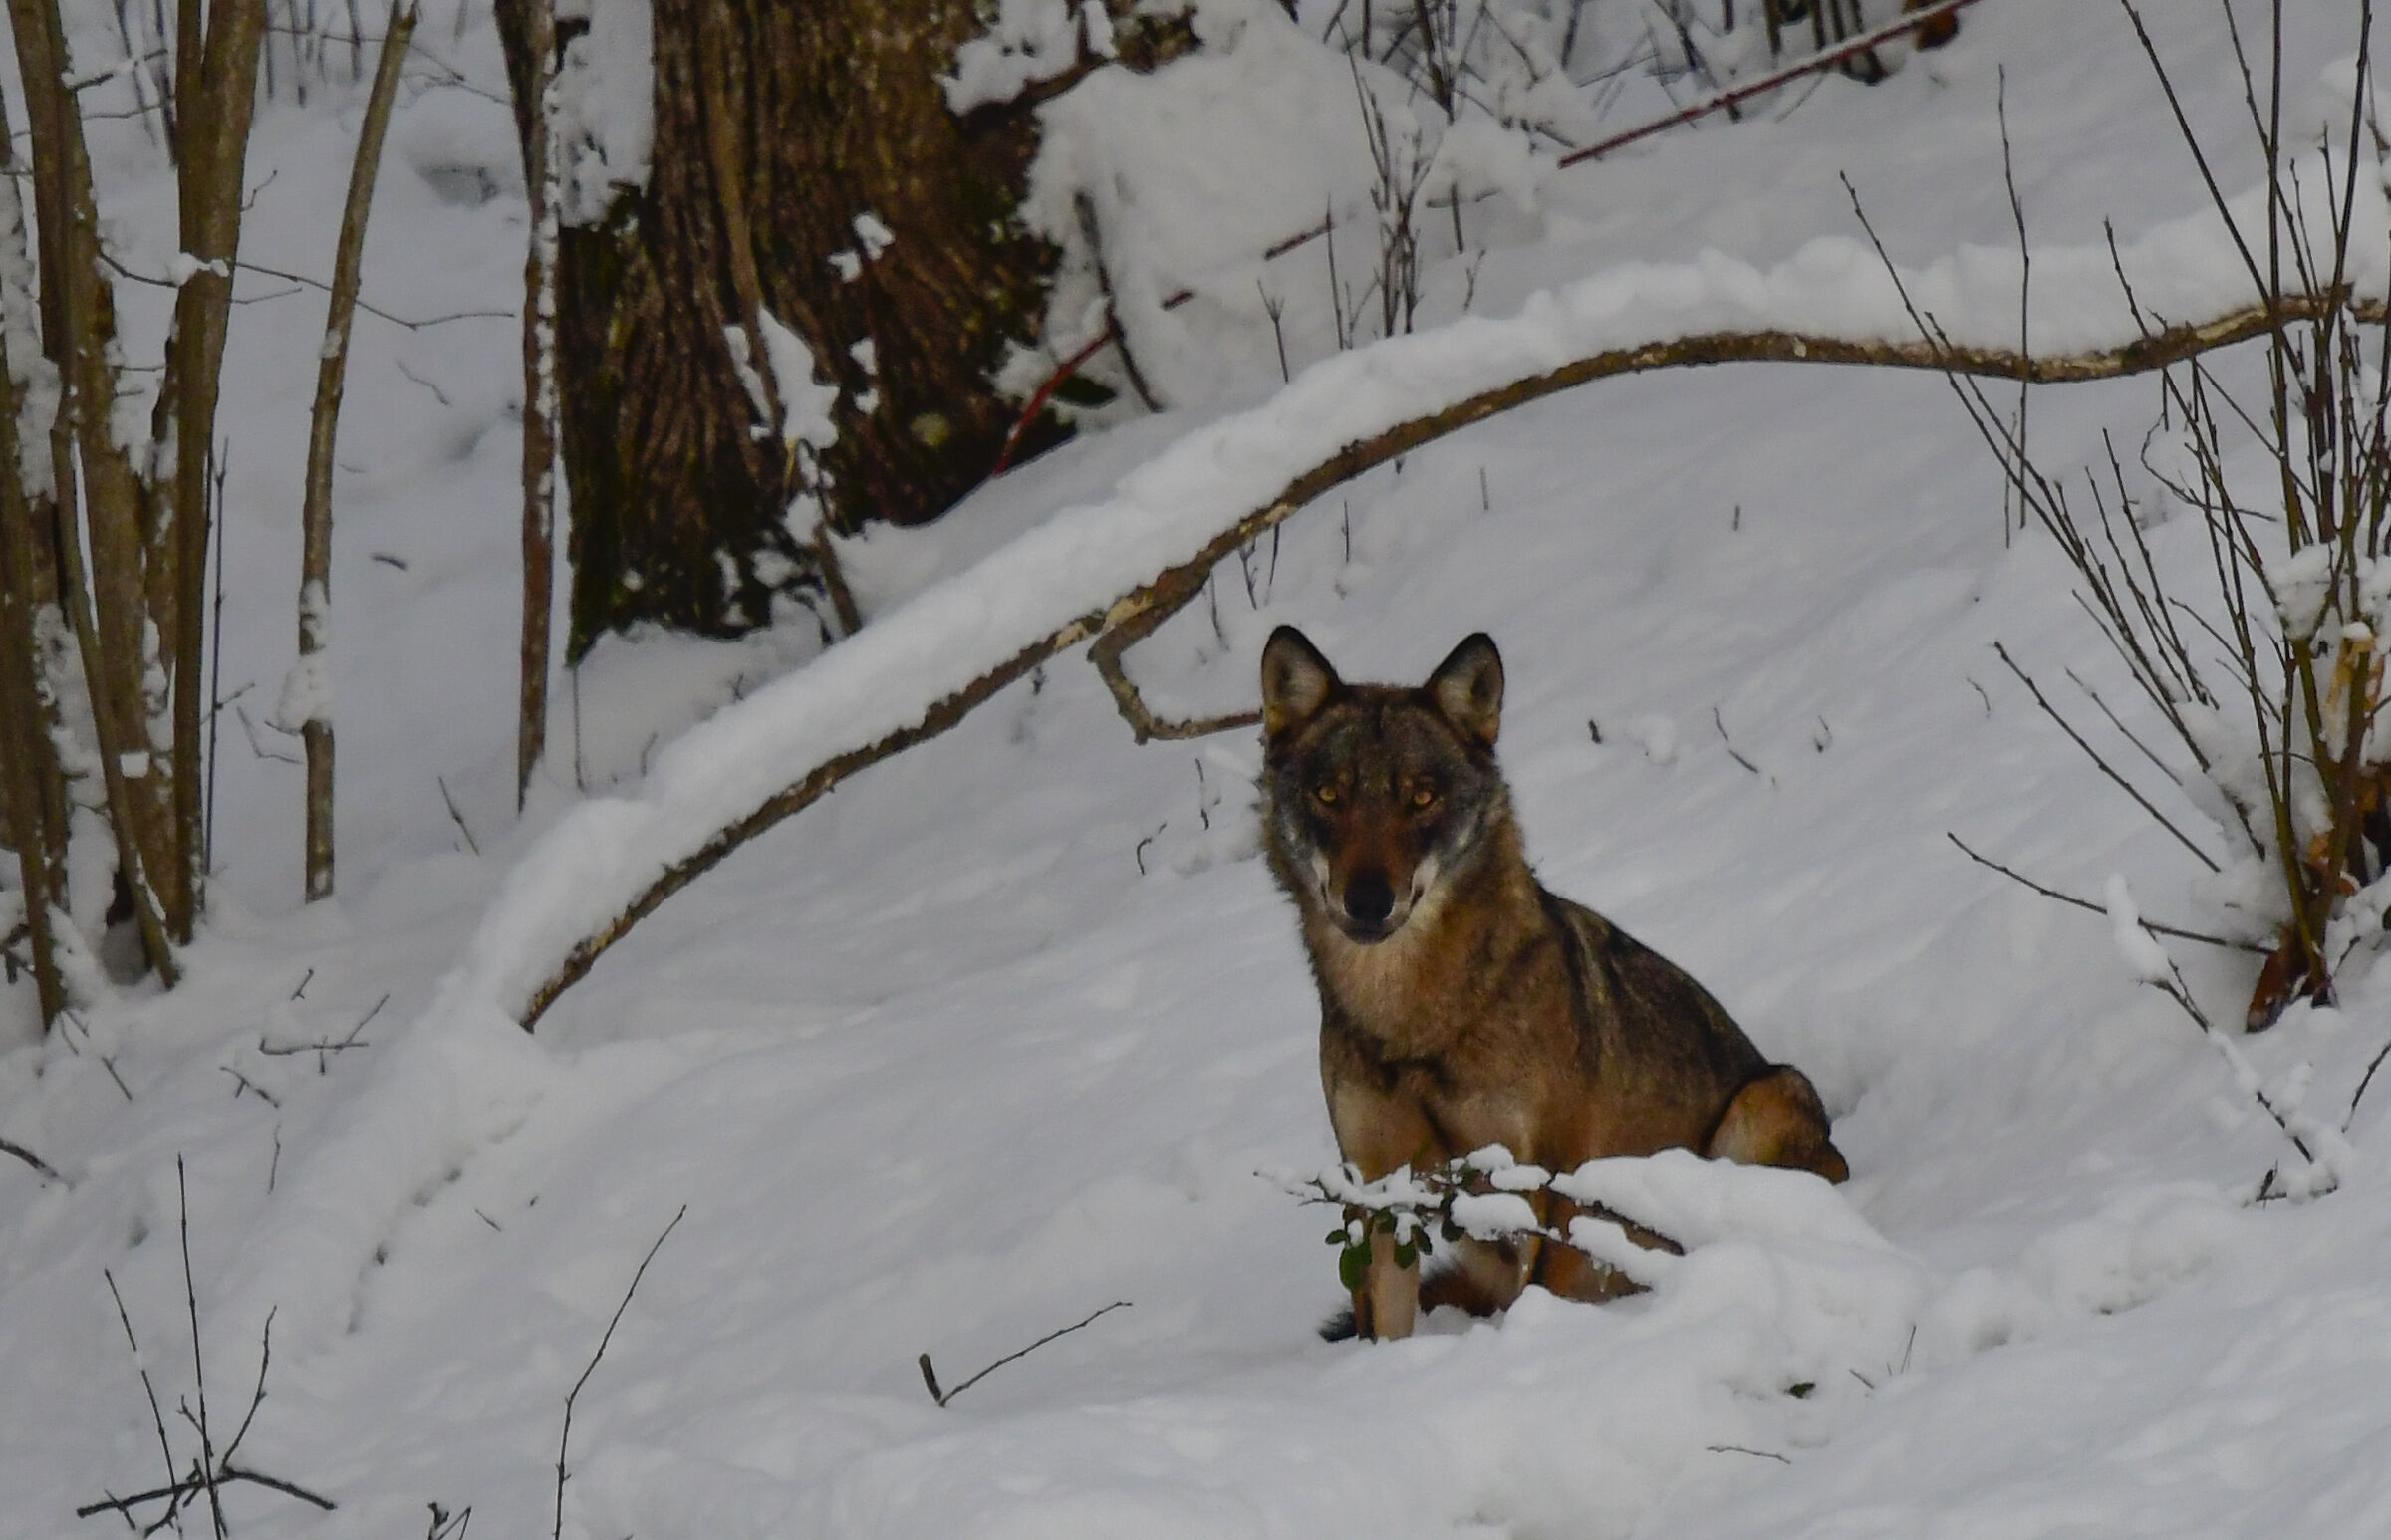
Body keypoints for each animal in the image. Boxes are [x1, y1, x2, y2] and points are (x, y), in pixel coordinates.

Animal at [1258, 626, 1849, 1340]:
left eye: (1422, 797)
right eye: (1329, 795)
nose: (1368, 901)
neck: (1416, 1025)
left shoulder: (1545, 1175)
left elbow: (1536, 1291)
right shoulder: (1377, 1190)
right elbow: (1386, 1322)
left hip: (1763, 1102)